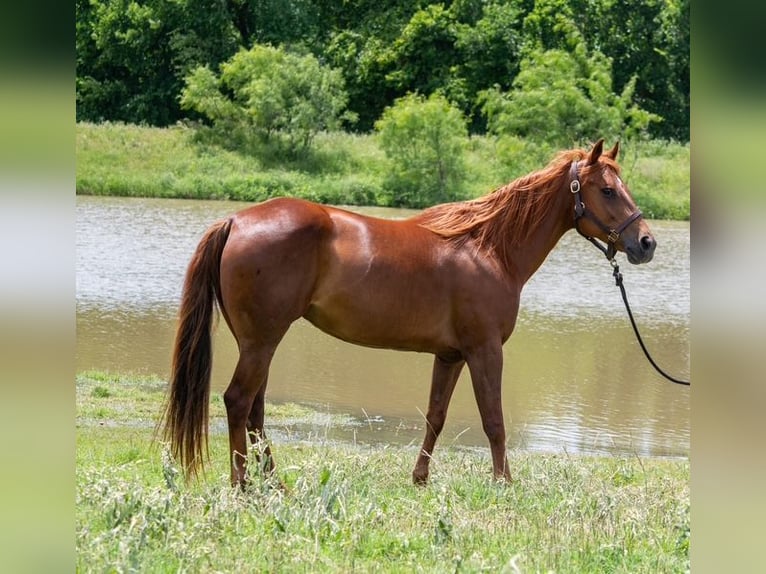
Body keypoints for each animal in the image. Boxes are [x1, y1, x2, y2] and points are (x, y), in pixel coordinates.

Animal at [161, 139, 656, 487]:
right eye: (608, 190)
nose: (646, 243)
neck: (487, 248)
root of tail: (236, 221)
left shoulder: (451, 355)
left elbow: (436, 416)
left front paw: (419, 478)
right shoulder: (485, 350)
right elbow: (493, 420)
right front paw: (504, 482)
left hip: (259, 342)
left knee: (256, 409)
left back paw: (273, 484)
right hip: (262, 341)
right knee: (238, 401)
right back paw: (243, 486)